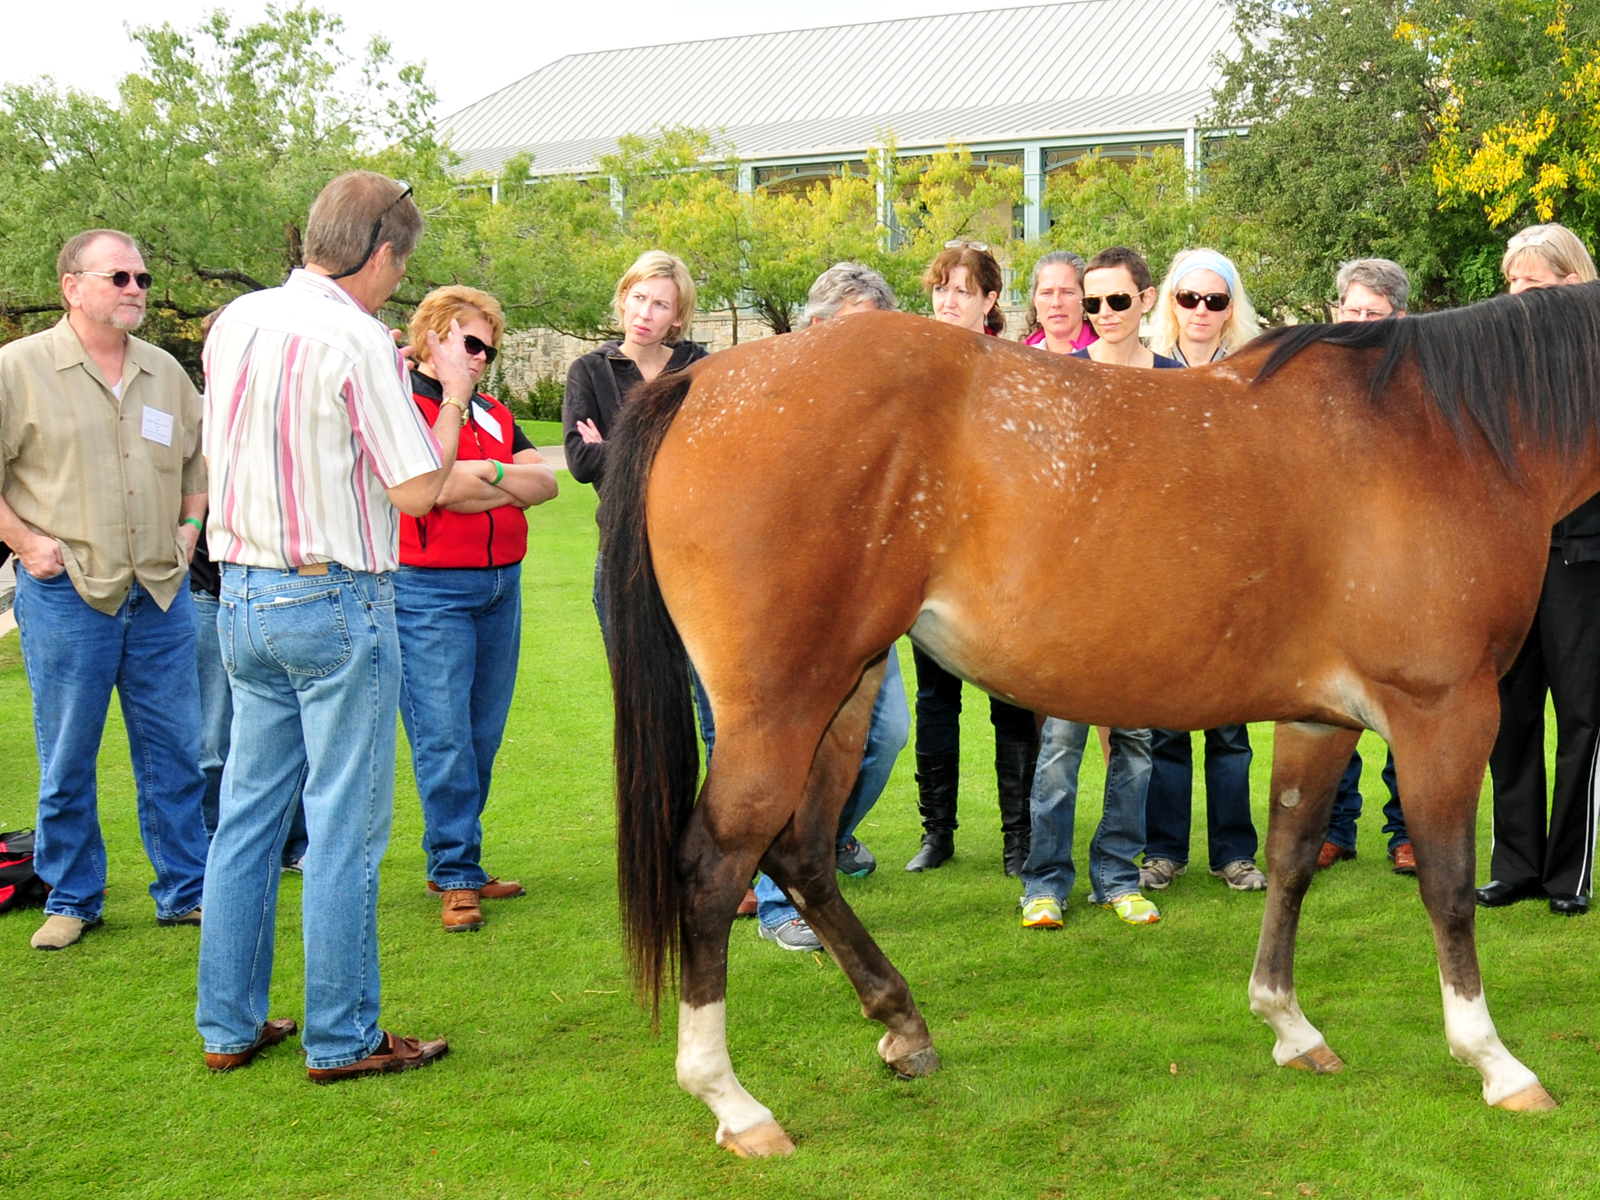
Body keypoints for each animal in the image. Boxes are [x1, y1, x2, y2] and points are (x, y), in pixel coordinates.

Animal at [601, 286, 1600, 1158]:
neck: (1442, 433)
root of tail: (706, 382)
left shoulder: (1324, 721)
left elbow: (1289, 861)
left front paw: (1288, 1022)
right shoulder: (1445, 710)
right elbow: (1448, 884)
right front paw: (1495, 1062)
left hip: (844, 693)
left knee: (802, 850)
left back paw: (902, 1026)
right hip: (778, 706)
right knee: (713, 865)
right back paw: (733, 1102)